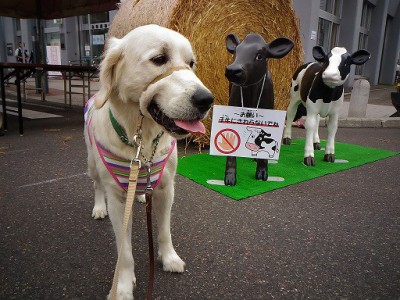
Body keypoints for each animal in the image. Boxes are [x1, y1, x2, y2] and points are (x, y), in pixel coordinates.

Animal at [84, 24, 212, 298]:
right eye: (159, 59)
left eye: (191, 63)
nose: (207, 99)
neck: (142, 139)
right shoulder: (118, 199)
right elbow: (124, 252)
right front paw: (122, 286)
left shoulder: (166, 187)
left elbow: (164, 231)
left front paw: (169, 258)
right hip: (91, 163)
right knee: (96, 185)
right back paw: (98, 207)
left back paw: (142, 195)